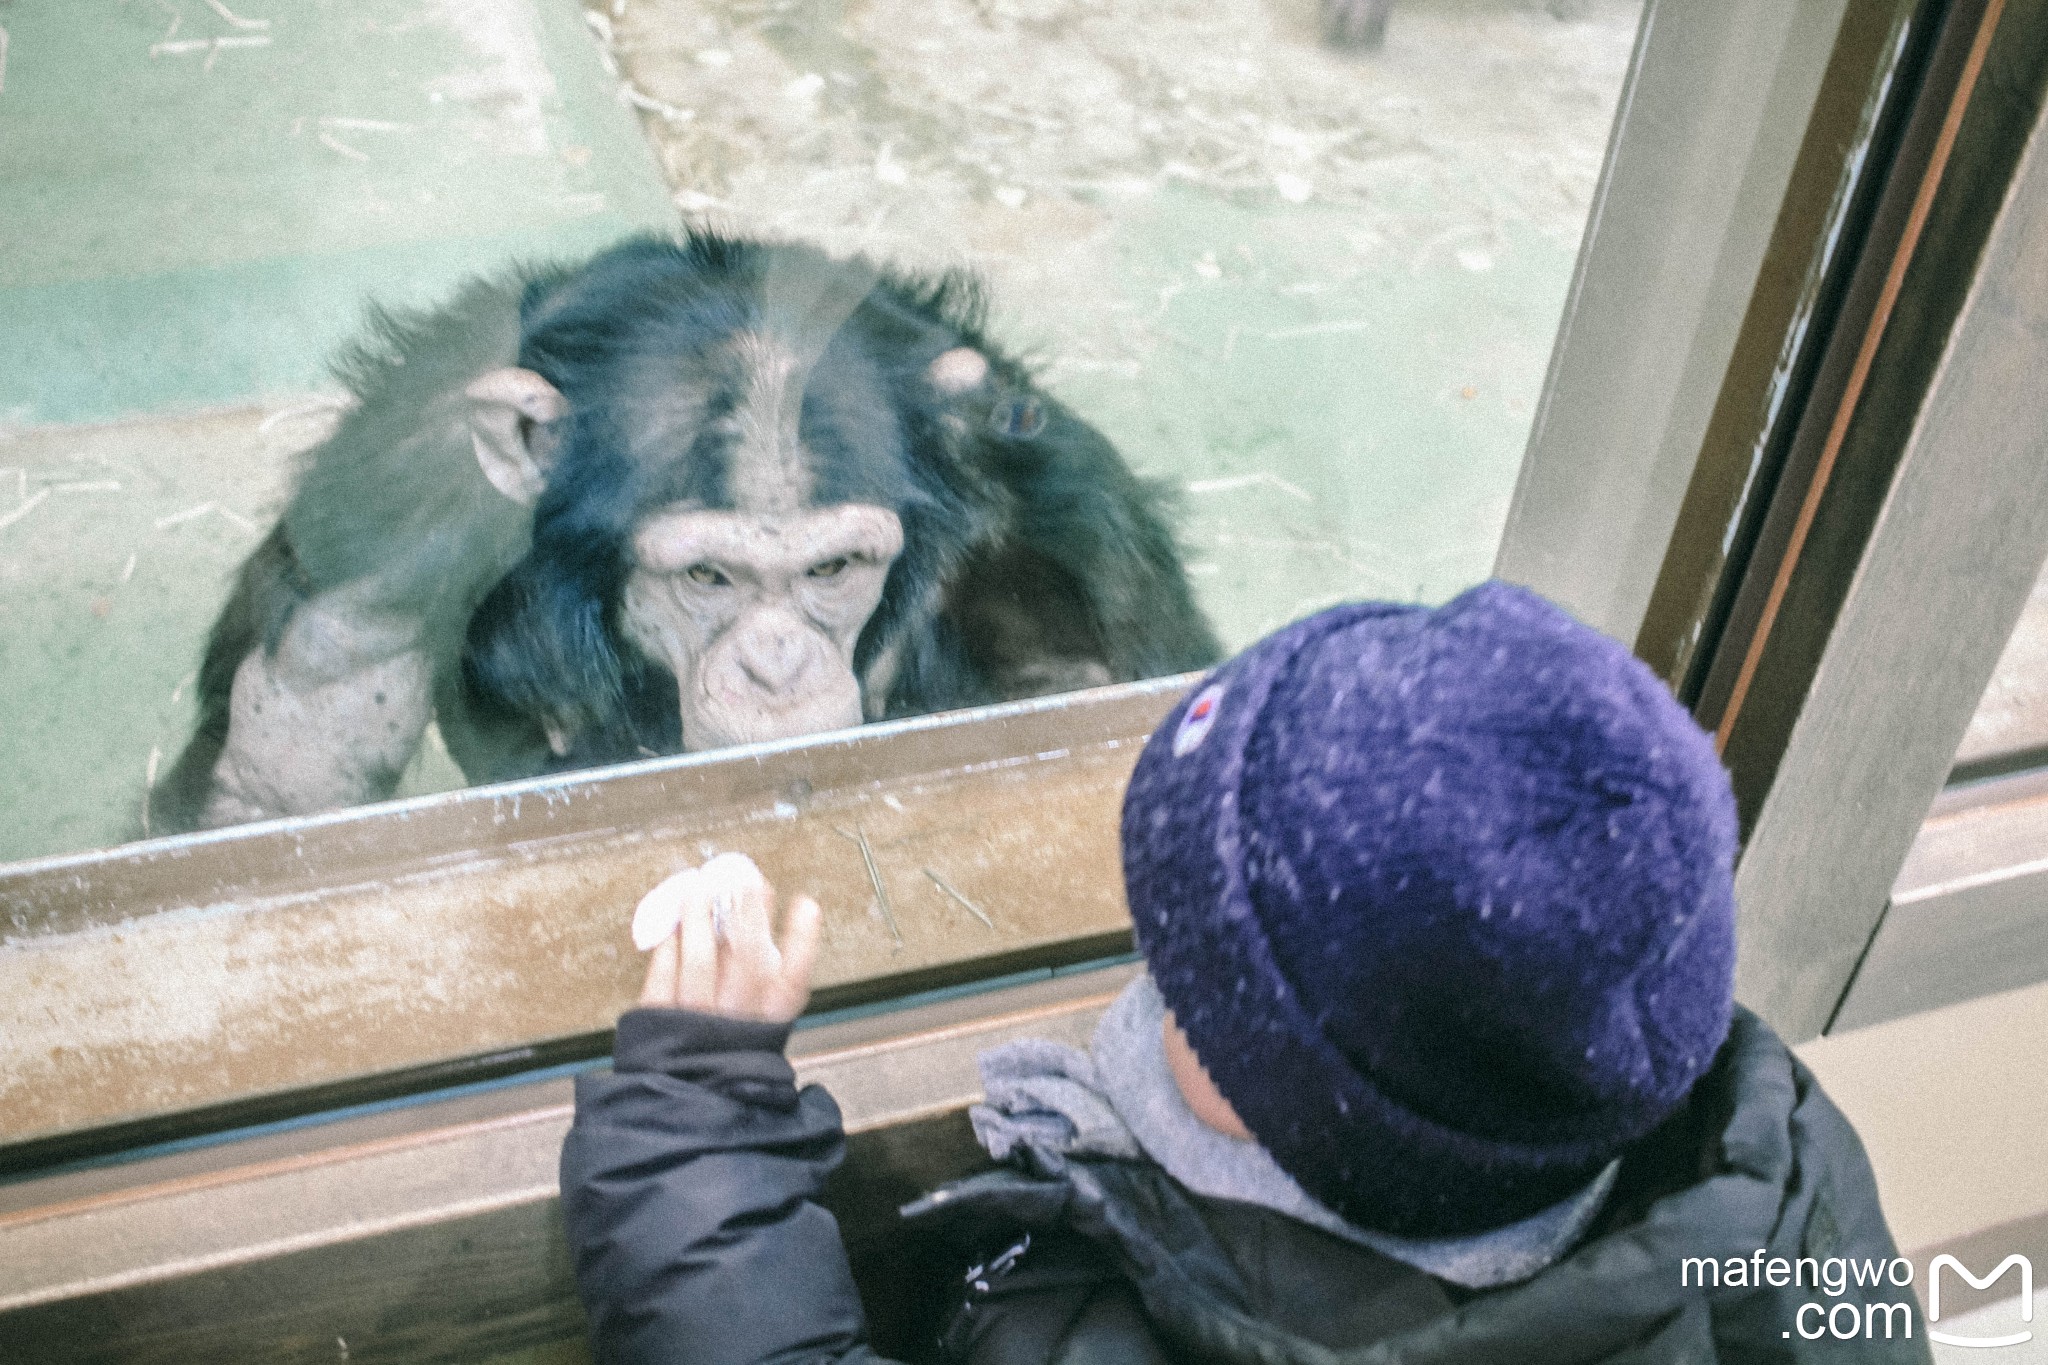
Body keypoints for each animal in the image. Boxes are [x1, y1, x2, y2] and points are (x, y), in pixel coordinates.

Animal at [159, 235, 1220, 834]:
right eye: (708, 577)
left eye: (834, 568)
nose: (777, 666)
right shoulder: (389, 511)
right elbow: (277, 785)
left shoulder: (1066, 520)